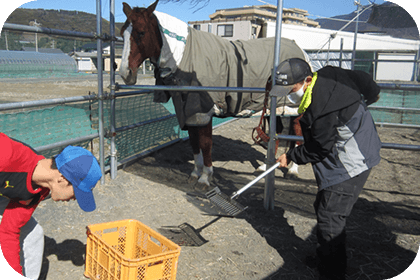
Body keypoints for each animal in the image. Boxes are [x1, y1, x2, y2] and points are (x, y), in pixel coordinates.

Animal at [120, 0, 306, 188]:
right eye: (122, 33)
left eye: (141, 32)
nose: (125, 73)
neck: (184, 55)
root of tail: (300, 50)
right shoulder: (189, 112)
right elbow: (194, 142)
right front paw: (195, 172)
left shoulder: (204, 111)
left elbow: (205, 143)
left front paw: (205, 177)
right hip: (274, 107)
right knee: (277, 134)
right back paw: (263, 168)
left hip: (297, 108)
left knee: (299, 135)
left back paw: (293, 170)